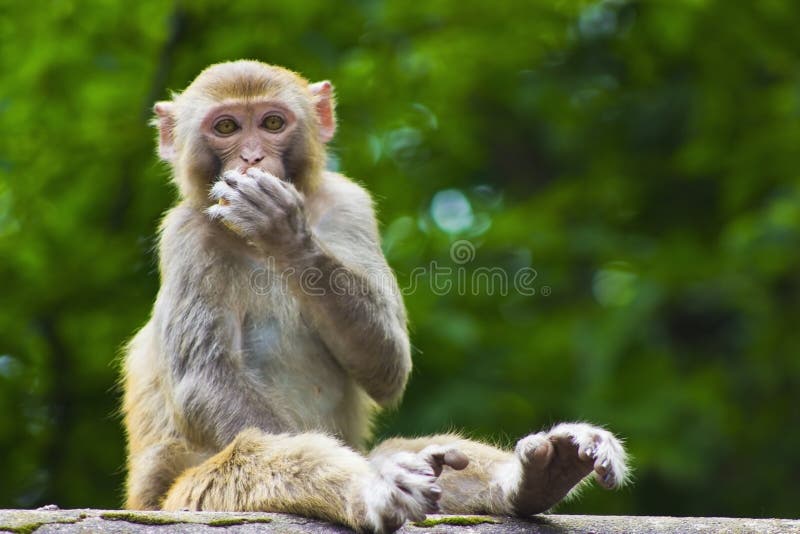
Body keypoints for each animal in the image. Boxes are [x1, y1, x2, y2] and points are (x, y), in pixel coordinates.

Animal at [122, 60, 628, 532]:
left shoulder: (350, 205)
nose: (251, 157)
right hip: (178, 497)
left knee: (407, 449)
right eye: (226, 127)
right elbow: (204, 380)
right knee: (254, 456)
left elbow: (388, 363)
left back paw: (538, 475)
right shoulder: (185, 235)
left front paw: (284, 232)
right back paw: (376, 488)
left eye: (272, 122)